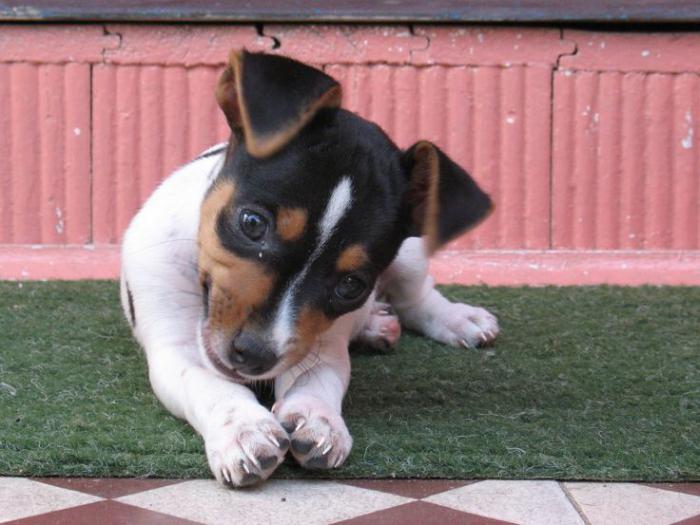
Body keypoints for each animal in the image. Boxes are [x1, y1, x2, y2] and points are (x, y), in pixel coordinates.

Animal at [120, 50, 498, 488]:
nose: (254, 355)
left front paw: (318, 420)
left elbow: (316, 381)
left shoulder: (317, 342)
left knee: (416, 296)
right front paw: (242, 428)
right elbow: (210, 385)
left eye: (351, 285)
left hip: (410, 255)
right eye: (252, 223)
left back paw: (454, 319)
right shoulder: (176, 351)